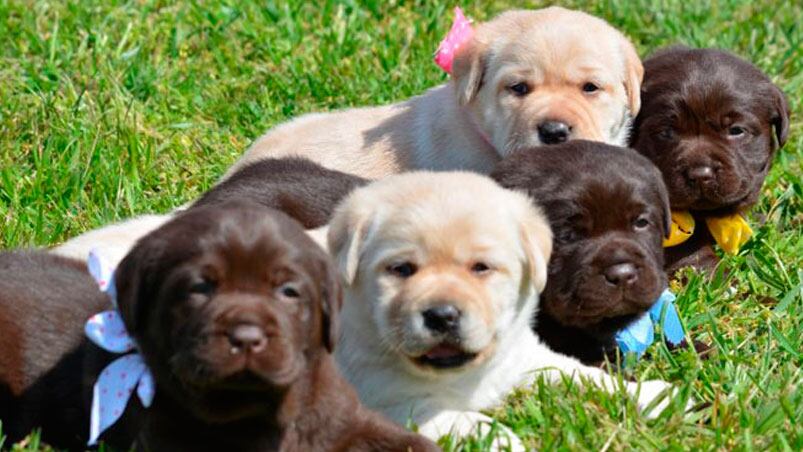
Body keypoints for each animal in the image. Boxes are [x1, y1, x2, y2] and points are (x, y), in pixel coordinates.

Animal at [328, 172, 680, 444]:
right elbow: (459, 419)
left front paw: (655, 396)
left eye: (481, 268)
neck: (468, 373)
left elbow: (584, 374)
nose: (442, 315)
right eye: (401, 269)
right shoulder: (389, 404)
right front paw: (502, 439)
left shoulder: (528, 358)